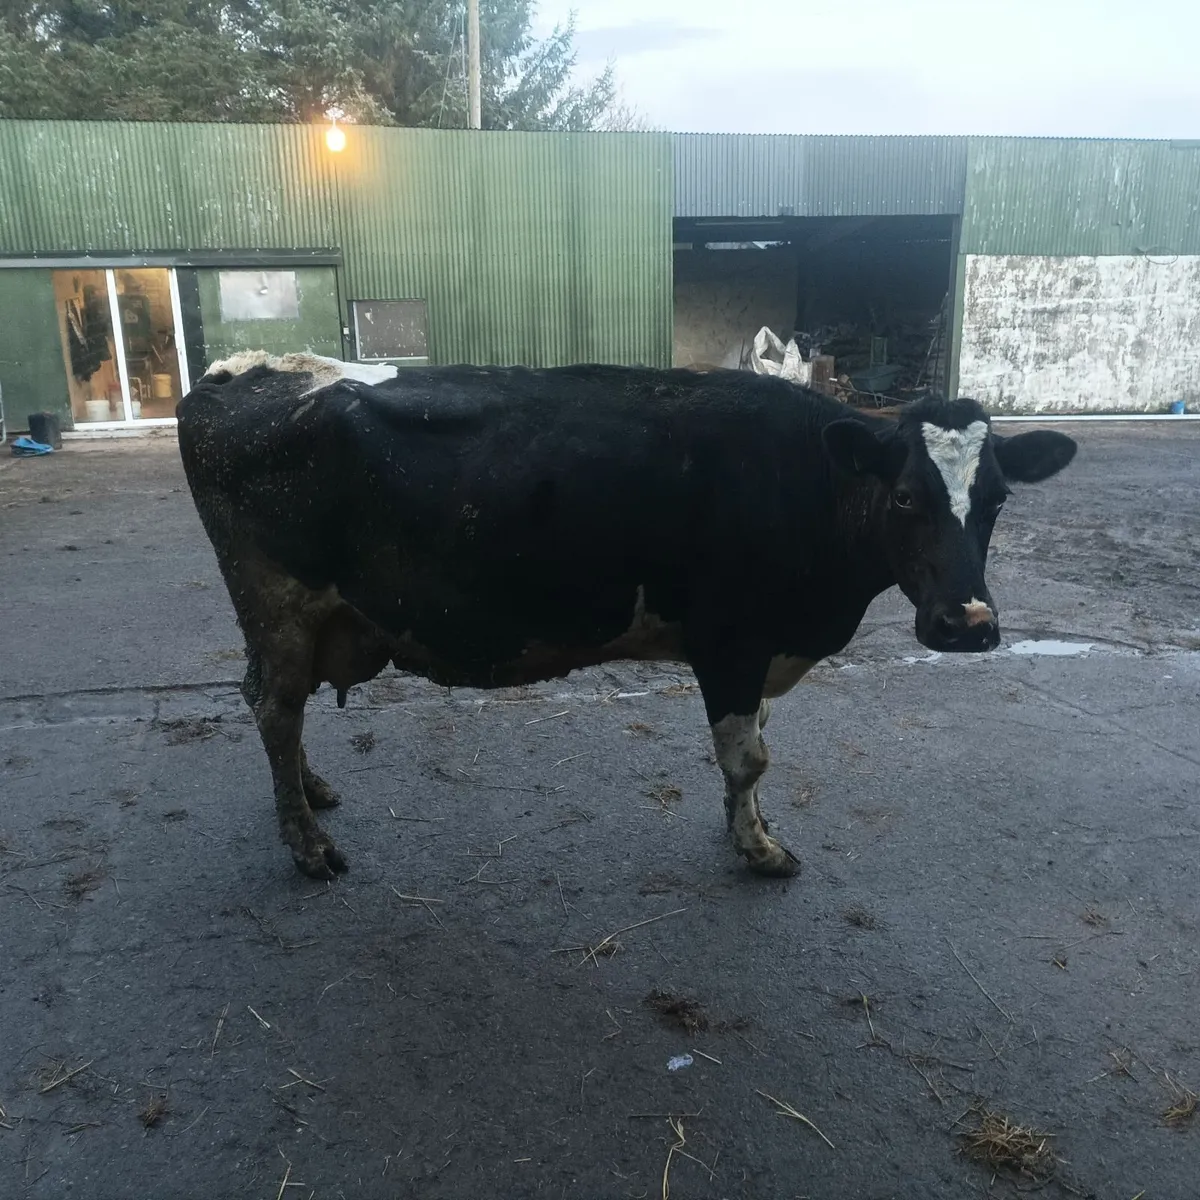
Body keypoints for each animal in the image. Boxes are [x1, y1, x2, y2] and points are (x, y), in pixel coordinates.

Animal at [177, 351, 1076, 881]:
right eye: (905, 497)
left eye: (998, 499)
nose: (968, 624)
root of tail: (245, 370)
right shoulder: (731, 641)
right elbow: (748, 757)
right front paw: (756, 847)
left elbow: (755, 756)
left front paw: (749, 828)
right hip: (278, 600)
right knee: (274, 708)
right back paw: (306, 843)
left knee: (275, 703)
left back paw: (309, 791)